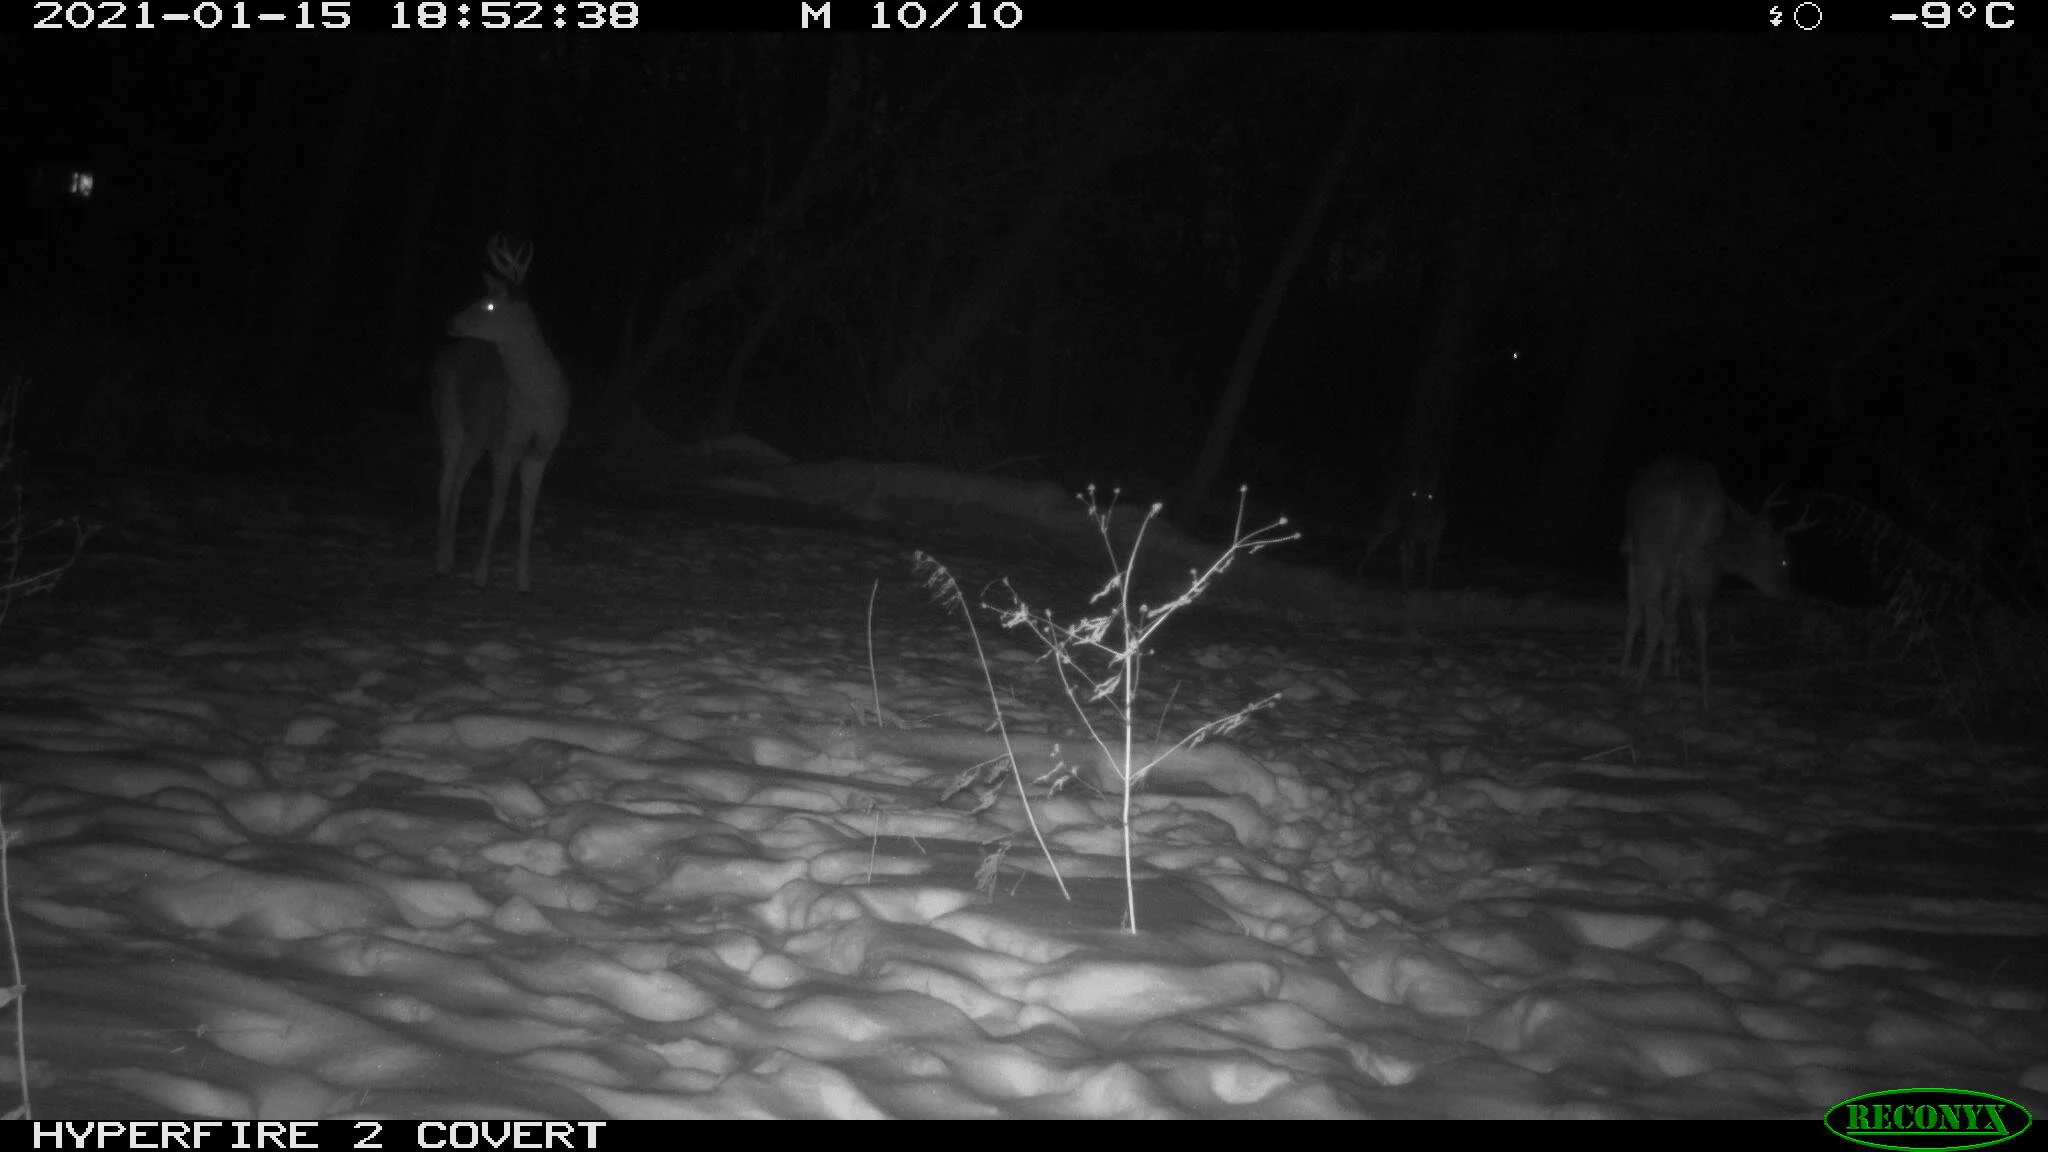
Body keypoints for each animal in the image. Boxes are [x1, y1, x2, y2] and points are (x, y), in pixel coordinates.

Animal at [432, 234, 572, 594]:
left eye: (489, 305)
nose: (449, 322)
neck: (536, 399)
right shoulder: (506, 441)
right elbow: (496, 508)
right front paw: (481, 576)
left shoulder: (541, 449)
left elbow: (527, 513)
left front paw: (524, 581)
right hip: (449, 420)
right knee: (446, 485)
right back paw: (442, 562)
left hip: (476, 437)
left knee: (457, 486)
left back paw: (449, 557)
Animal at [1620, 457, 1815, 704]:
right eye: (1785, 561)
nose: (1791, 594)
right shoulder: (1680, 571)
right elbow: (1672, 619)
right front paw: (1666, 669)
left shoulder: (1632, 548)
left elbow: (1635, 613)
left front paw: (1625, 668)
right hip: (1698, 561)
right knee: (1700, 623)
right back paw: (1704, 694)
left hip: (1653, 549)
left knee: (1656, 619)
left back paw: (1637, 685)